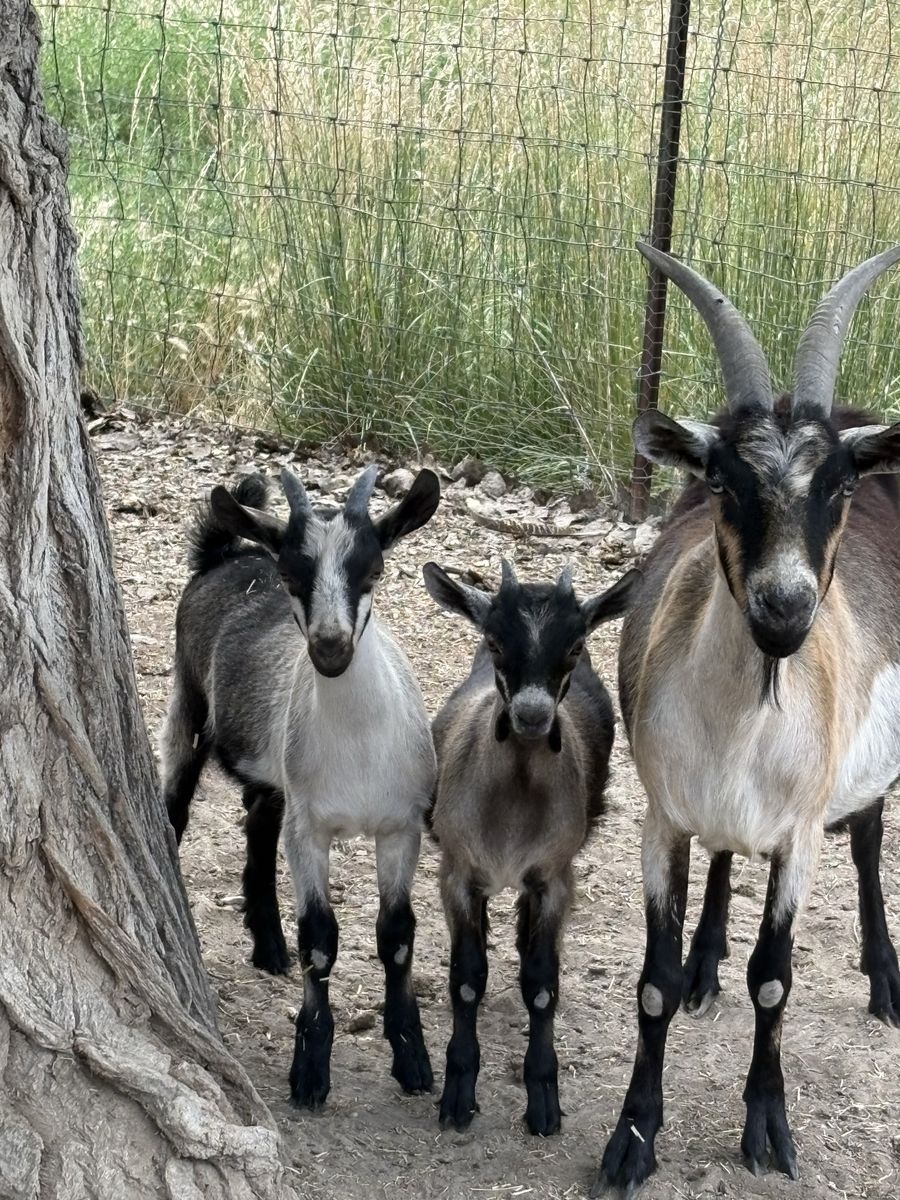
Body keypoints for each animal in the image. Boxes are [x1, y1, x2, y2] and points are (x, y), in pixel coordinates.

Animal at [160, 465, 441, 1108]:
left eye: (374, 570)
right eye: (292, 574)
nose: (330, 647)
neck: (358, 745)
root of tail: (229, 553)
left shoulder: (400, 827)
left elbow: (397, 935)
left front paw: (413, 1060)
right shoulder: (310, 827)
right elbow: (320, 936)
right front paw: (310, 1067)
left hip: (275, 771)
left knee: (258, 822)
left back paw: (267, 945)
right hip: (189, 702)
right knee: (177, 801)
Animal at [422, 558, 639, 1135]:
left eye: (575, 644)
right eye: (495, 641)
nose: (534, 715)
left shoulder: (553, 878)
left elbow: (543, 982)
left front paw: (543, 1097)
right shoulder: (457, 873)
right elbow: (467, 977)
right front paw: (458, 1092)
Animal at [596, 244, 900, 1195]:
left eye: (837, 484)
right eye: (726, 478)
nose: (785, 607)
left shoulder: (800, 834)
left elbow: (776, 980)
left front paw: (767, 1127)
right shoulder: (661, 818)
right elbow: (651, 984)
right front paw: (632, 1136)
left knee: (870, 834)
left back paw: (886, 979)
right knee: (727, 853)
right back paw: (706, 960)